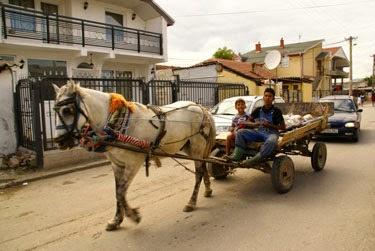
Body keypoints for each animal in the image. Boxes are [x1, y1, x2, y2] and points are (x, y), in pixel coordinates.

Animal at [53, 81, 217, 230]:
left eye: (67, 110)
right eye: (56, 111)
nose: (58, 141)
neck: (116, 124)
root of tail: (200, 108)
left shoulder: (133, 163)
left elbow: (121, 192)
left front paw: (133, 215)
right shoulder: (117, 164)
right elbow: (117, 191)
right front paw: (116, 220)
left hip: (197, 146)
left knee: (198, 173)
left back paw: (192, 202)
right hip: (189, 148)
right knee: (203, 165)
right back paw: (208, 190)